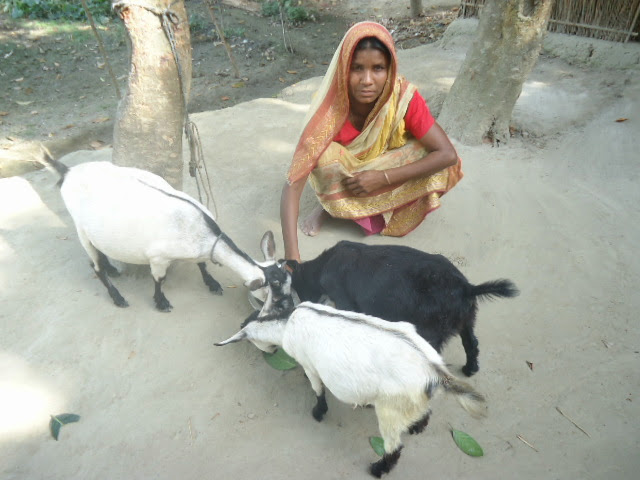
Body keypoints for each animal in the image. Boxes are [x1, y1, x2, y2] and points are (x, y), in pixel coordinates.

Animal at [41, 152, 292, 313]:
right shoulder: (158, 257)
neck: (200, 229)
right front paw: (161, 303)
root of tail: (68, 171)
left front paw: (212, 284)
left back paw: (112, 269)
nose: (289, 308)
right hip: (80, 228)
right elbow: (159, 280)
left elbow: (202, 264)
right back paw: (117, 297)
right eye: (274, 292)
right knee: (94, 266)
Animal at [216, 302, 487, 477]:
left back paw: (377, 469)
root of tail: (435, 372)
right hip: (412, 401)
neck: (286, 325)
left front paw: (318, 413)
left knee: (394, 447)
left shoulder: (309, 364)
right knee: (424, 411)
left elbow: (317, 388)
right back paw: (418, 427)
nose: (268, 352)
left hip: (389, 410)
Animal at [253, 241, 519, 376]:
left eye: (297, 286)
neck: (324, 265)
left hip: (431, 332)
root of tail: (467, 288)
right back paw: (470, 369)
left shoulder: (346, 301)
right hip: (466, 321)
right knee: (471, 344)